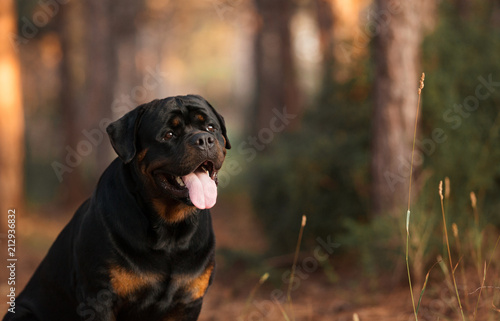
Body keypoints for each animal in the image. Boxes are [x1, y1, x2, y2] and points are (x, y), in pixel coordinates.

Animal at [4, 95, 230, 320]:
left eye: (211, 127)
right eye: (169, 134)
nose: (203, 139)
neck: (170, 231)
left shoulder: (188, 301)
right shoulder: (99, 300)